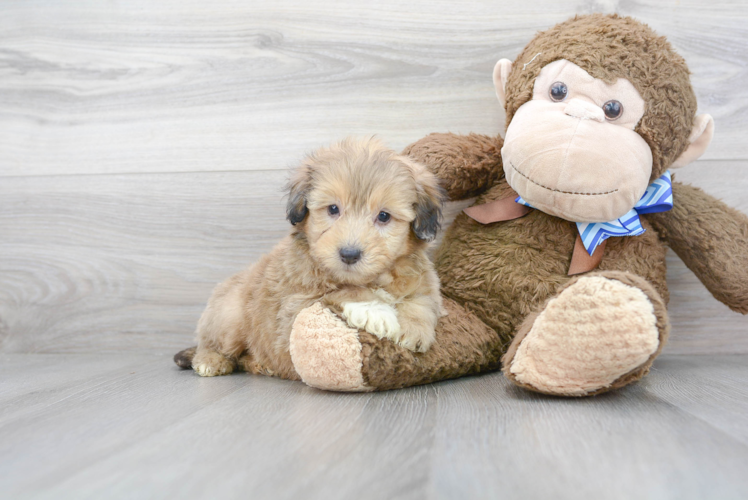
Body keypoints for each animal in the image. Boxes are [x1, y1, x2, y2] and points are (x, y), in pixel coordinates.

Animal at [188, 139, 444, 376]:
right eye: (333, 209)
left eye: (383, 216)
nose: (349, 254)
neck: (374, 278)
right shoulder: (295, 306)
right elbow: (341, 291)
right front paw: (376, 311)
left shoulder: (424, 278)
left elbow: (423, 299)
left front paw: (415, 330)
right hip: (230, 316)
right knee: (214, 344)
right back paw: (210, 361)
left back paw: (260, 364)